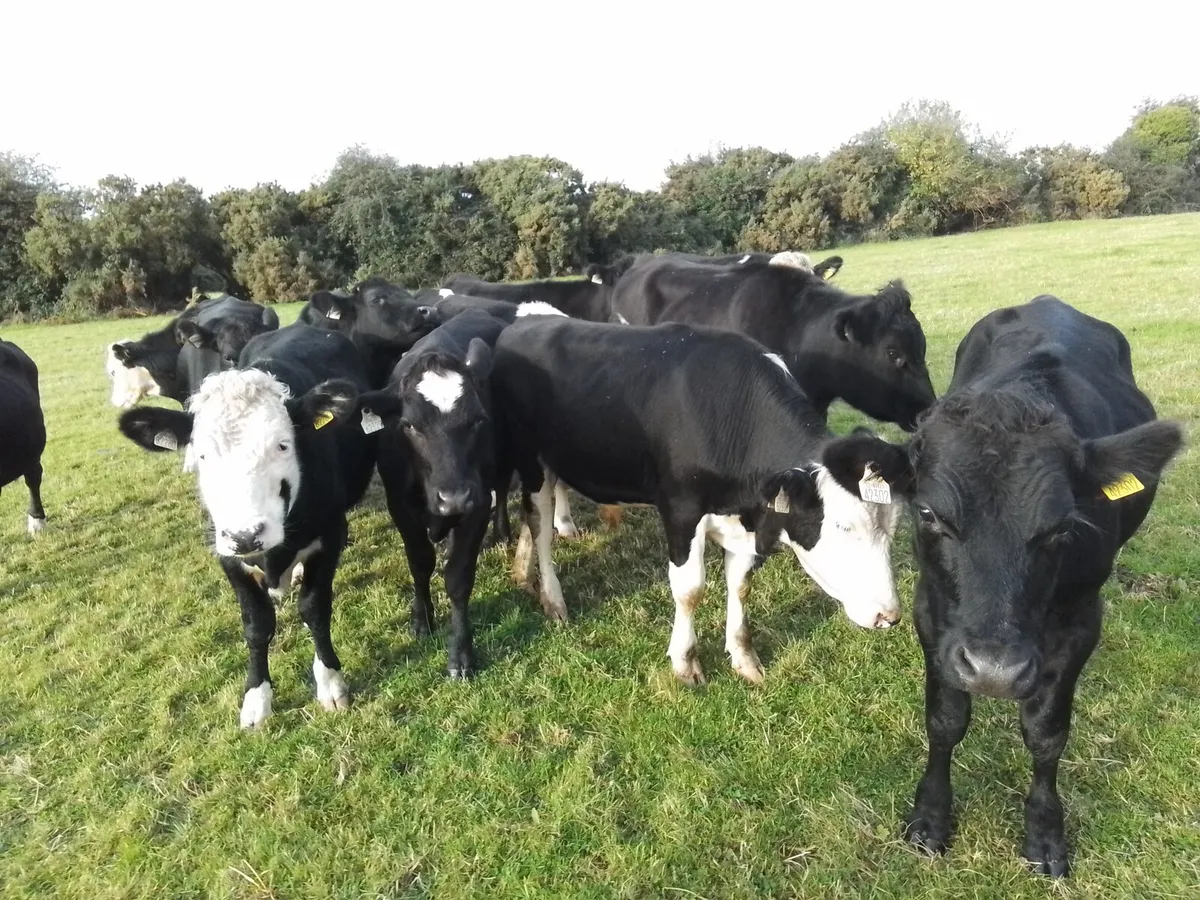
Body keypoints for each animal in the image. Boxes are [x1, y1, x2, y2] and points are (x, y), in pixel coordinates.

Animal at [117, 323, 378, 728]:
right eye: (201, 455)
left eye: (283, 445)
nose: (246, 535)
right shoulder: (227, 553)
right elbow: (256, 625)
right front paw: (257, 699)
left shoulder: (329, 536)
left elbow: (315, 610)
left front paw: (331, 684)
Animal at [350, 309, 511, 678]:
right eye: (409, 425)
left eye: (478, 419)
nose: (453, 498)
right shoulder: (400, 505)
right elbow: (420, 562)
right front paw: (422, 619)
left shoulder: (476, 502)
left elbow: (458, 576)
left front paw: (461, 654)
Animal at [491, 316, 913, 685]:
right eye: (843, 527)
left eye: (892, 529)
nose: (889, 616)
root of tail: (522, 324)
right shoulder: (681, 511)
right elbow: (690, 590)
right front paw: (685, 662)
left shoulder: (745, 521)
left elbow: (740, 586)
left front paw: (744, 659)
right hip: (531, 459)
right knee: (541, 525)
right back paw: (553, 599)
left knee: (531, 518)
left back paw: (522, 571)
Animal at [843, 296, 1183, 877]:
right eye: (929, 514)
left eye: (1062, 527)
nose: (995, 671)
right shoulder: (932, 611)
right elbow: (945, 719)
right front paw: (930, 817)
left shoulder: (1082, 619)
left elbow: (1046, 733)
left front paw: (1045, 834)